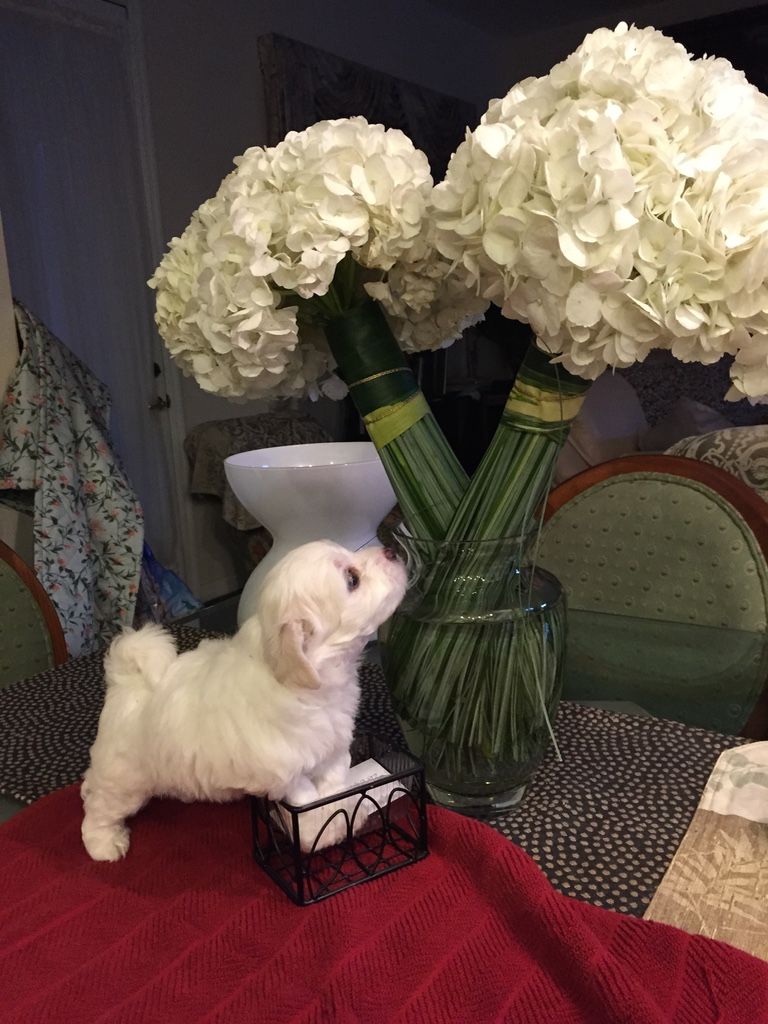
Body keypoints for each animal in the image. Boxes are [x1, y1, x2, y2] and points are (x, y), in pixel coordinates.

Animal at [81, 540, 409, 860]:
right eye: (352, 580)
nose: (391, 551)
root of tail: (124, 679)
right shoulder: (285, 773)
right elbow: (306, 801)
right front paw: (320, 832)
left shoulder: (332, 747)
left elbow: (334, 785)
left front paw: (341, 813)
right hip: (125, 776)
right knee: (100, 808)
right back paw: (104, 844)